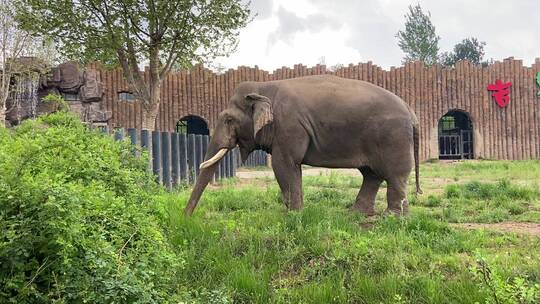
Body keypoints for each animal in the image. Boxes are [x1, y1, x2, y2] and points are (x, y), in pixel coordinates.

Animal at [186, 73, 422, 216]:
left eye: (228, 119)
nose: (186, 218)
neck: (264, 88)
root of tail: (411, 112)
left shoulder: (289, 127)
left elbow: (284, 165)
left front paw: (293, 215)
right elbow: (291, 168)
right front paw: (298, 212)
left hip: (393, 138)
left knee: (394, 175)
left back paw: (392, 217)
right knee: (371, 174)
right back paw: (356, 213)